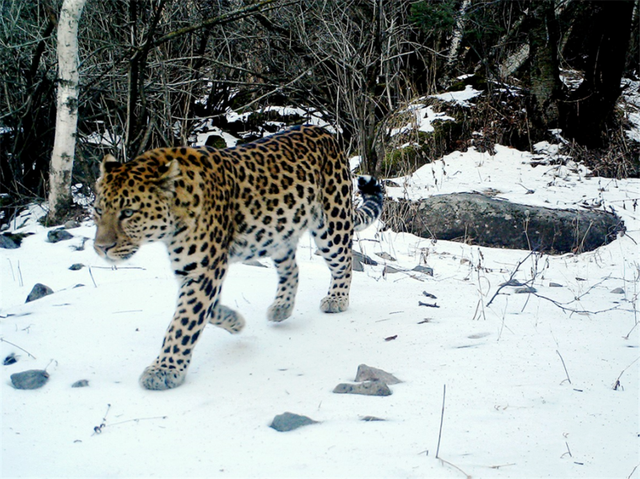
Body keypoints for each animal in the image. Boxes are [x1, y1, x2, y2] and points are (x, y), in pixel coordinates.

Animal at [92, 124, 382, 390]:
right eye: (98, 210)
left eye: (128, 213)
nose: (101, 247)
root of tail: (325, 132)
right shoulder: (194, 269)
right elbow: (204, 311)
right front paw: (235, 322)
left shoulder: (203, 270)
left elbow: (183, 322)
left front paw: (164, 370)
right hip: (276, 230)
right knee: (291, 267)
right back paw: (281, 307)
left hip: (331, 223)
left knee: (344, 262)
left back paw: (337, 299)